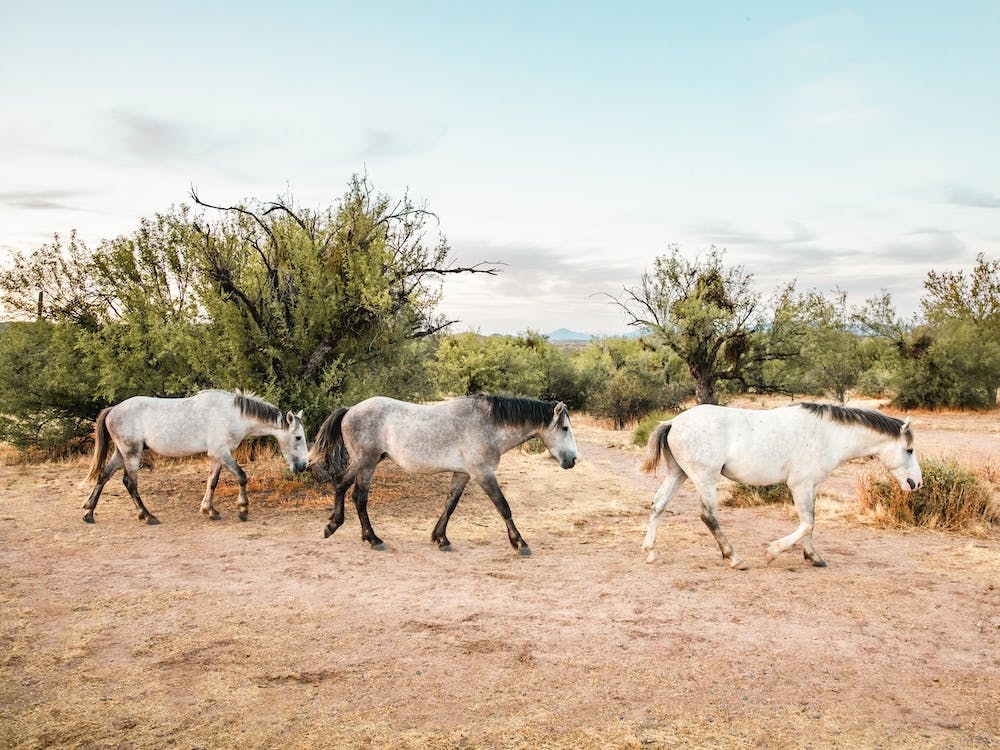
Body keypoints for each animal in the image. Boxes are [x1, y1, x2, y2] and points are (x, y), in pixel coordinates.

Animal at [83, 390, 309, 525]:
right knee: (130, 483)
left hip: (120, 453)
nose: (303, 465)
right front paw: (243, 509)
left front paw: (209, 510)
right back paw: (148, 516)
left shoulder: (217, 456)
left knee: (103, 476)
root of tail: (113, 409)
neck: (232, 415)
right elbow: (241, 476)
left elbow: (212, 482)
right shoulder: (221, 452)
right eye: (298, 437)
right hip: (131, 453)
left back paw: (89, 513)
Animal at [308, 393, 579, 555]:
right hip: (367, 463)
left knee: (340, 485)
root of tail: (351, 409)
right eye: (565, 428)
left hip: (361, 462)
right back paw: (373, 539)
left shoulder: (462, 474)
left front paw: (440, 538)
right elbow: (503, 507)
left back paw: (332, 525)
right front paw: (520, 543)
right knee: (360, 498)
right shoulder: (483, 473)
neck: (488, 424)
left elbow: (450, 504)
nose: (573, 460)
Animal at [640, 402, 922, 569]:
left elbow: (810, 522)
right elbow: (807, 524)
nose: (916, 483)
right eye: (909, 450)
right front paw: (773, 551)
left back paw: (651, 551)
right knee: (708, 516)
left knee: (658, 505)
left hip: (678, 474)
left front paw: (813, 557)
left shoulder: (810, 487)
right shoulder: (800, 485)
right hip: (704, 479)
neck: (828, 435)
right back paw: (734, 558)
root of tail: (673, 422)